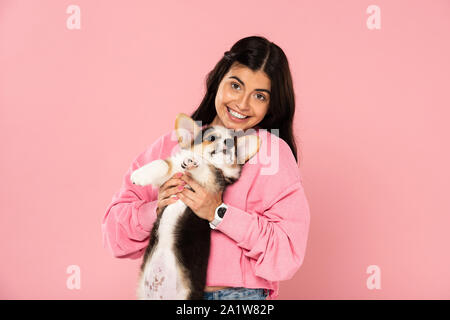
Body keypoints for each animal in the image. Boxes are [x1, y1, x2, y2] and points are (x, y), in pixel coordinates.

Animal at [129, 114, 260, 298]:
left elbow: (206, 167)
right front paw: (140, 174)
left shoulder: (214, 180)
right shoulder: (170, 178)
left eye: (233, 145)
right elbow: (163, 164)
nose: (228, 143)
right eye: (211, 138)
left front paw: (194, 162)